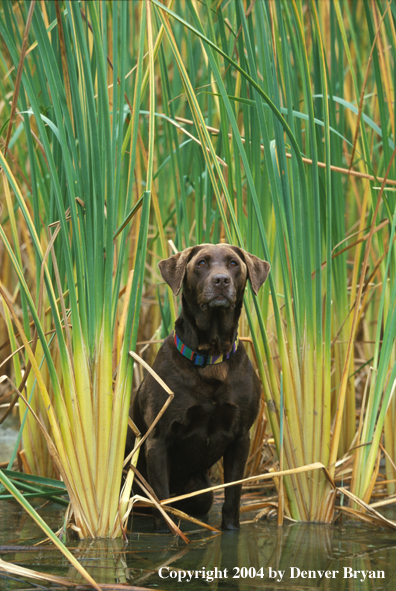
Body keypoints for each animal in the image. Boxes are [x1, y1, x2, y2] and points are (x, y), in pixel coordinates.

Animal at [126, 243, 270, 528]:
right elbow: (163, 501)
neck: (210, 357)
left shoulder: (241, 438)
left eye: (234, 263)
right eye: (201, 263)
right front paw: (167, 531)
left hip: (201, 494)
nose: (221, 281)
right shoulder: (158, 440)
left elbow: (233, 497)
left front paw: (231, 529)